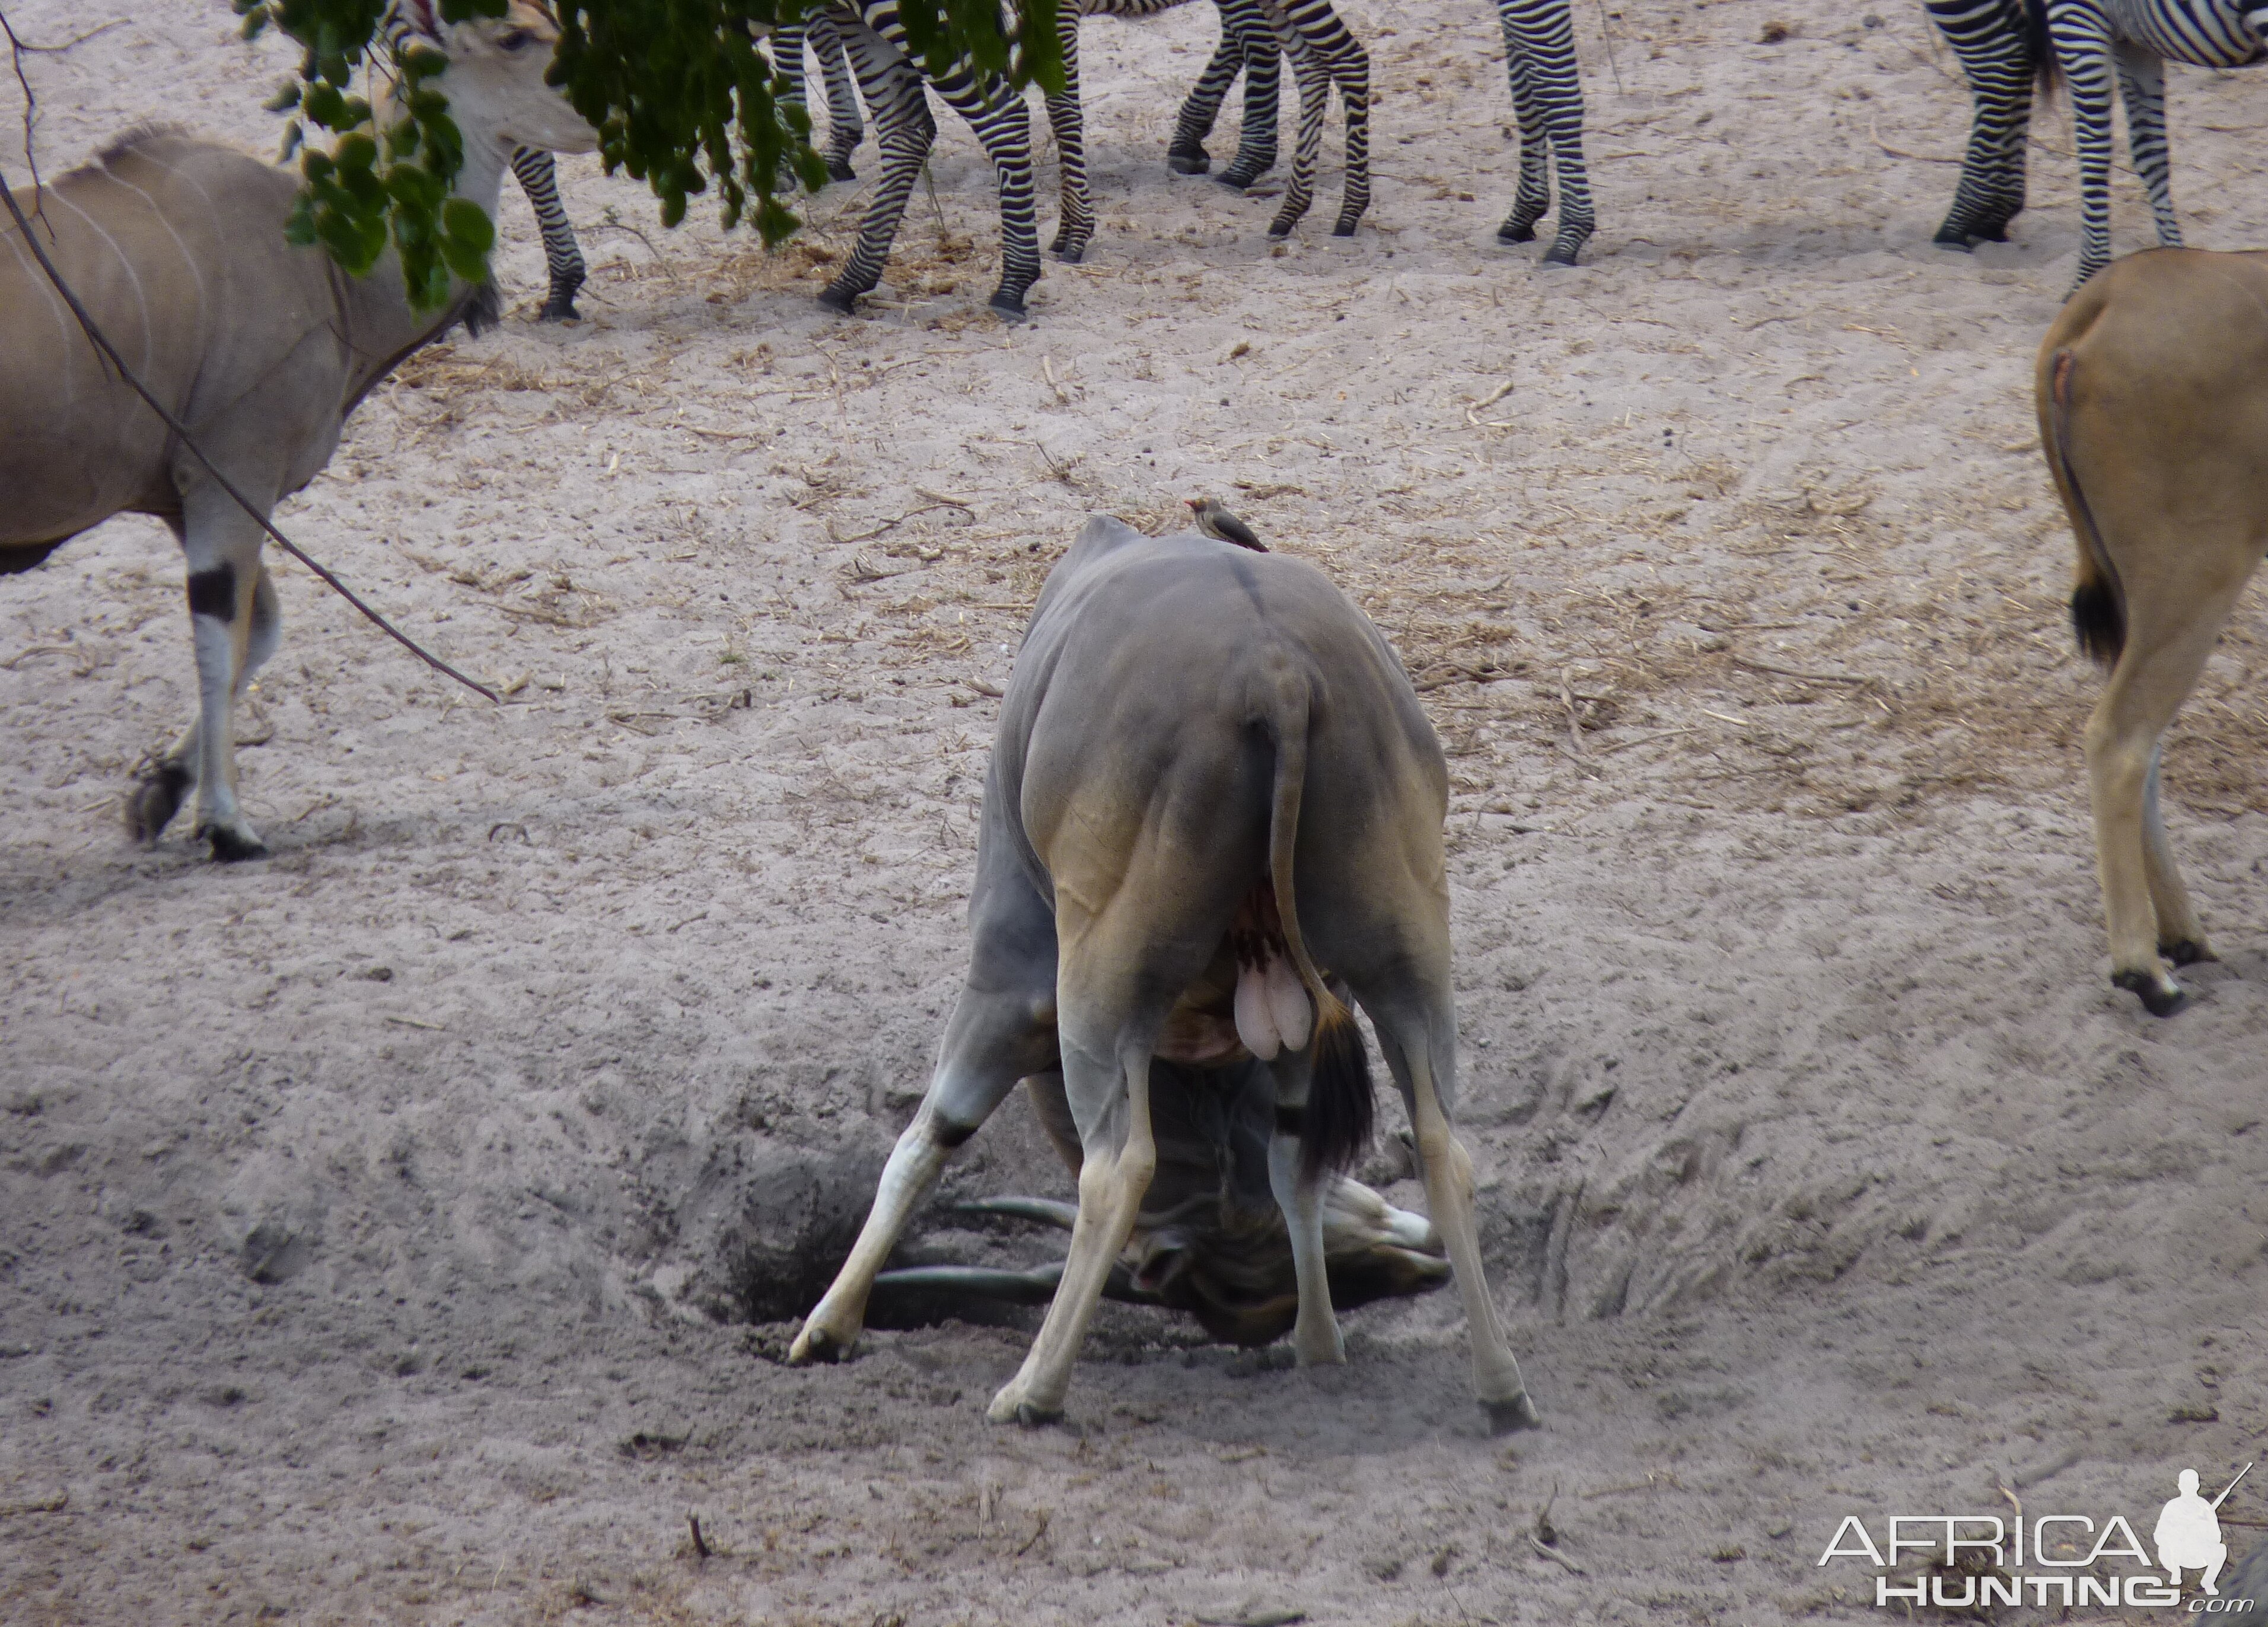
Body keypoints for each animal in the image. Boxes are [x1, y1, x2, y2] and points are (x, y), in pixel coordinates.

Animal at [0, 0, 594, 858]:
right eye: (513, 37)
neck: (327, 265)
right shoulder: (232, 474)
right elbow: (223, 633)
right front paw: (226, 822)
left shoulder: (188, 495)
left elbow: (261, 630)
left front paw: (160, 790)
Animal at [789, 515, 1551, 1425]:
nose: (1406, 1265)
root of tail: (1278, 674)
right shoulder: (1296, 1037)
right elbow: (1292, 1164)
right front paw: (1318, 1343)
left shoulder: (1011, 976)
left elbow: (926, 1136)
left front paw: (827, 1324)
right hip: (1404, 963)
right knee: (1442, 1144)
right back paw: (1502, 1389)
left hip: (1099, 993)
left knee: (1117, 1165)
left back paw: (1031, 1391)